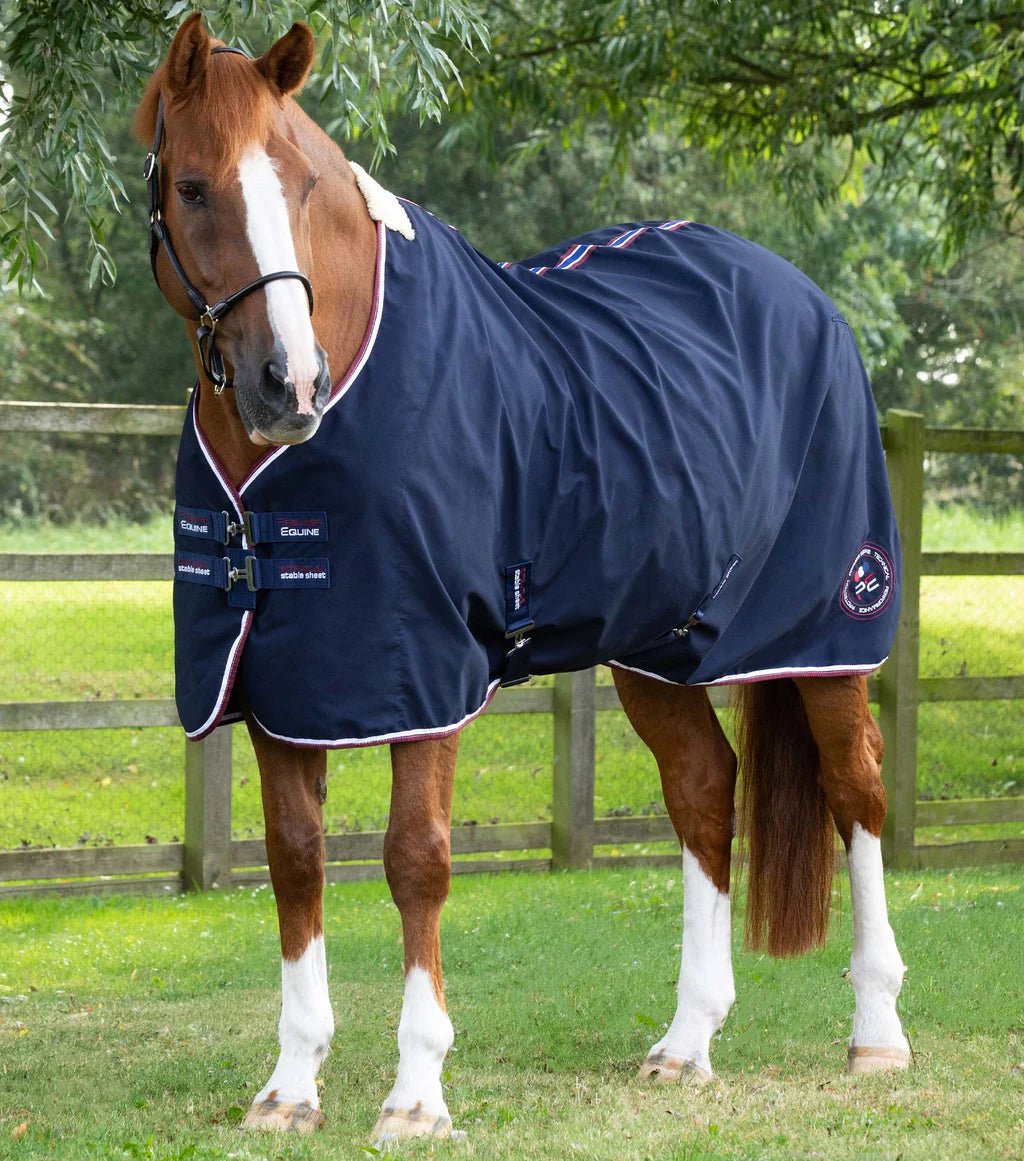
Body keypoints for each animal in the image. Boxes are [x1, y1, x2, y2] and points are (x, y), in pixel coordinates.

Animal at [136, 14, 911, 1140]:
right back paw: (687, 1041)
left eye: (304, 184)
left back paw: (877, 1033)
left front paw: (416, 1094)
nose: (291, 385)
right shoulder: (286, 677)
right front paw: (290, 1085)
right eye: (193, 187)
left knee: (857, 791)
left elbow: (415, 859)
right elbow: (294, 858)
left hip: (826, 631)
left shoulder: (420, 671)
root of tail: (802, 296)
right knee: (702, 789)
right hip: (655, 645)